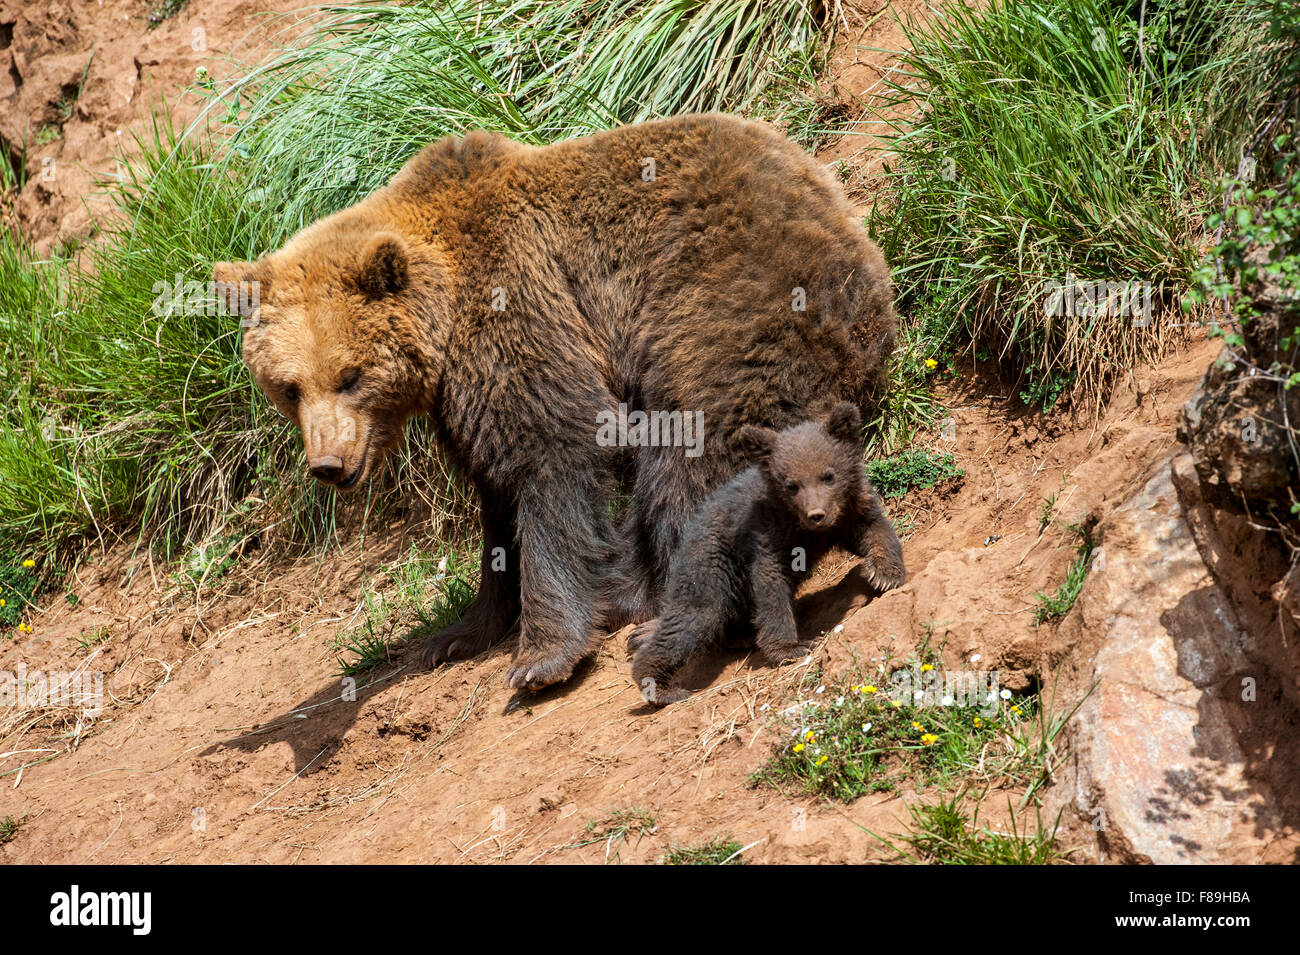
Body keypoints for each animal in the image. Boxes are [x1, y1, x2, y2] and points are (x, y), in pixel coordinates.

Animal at [627, 401, 905, 705]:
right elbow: (771, 584)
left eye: (828, 475)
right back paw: (660, 684)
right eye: (791, 484)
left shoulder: (850, 510)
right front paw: (790, 647)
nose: (816, 515)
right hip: (710, 564)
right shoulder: (767, 533)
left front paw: (884, 574)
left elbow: (874, 529)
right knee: (695, 616)